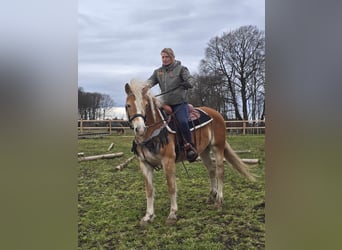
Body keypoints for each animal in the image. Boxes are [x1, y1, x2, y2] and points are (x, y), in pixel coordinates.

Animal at [124, 79, 255, 225]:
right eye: (128, 105)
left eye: (146, 105)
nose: (140, 128)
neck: (154, 131)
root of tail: (217, 114)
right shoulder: (145, 164)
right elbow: (149, 190)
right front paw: (148, 216)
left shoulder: (168, 161)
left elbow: (171, 186)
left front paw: (173, 213)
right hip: (204, 151)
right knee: (211, 170)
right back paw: (211, 196)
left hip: (218, 147)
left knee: (220, 171)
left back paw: (219, 200)